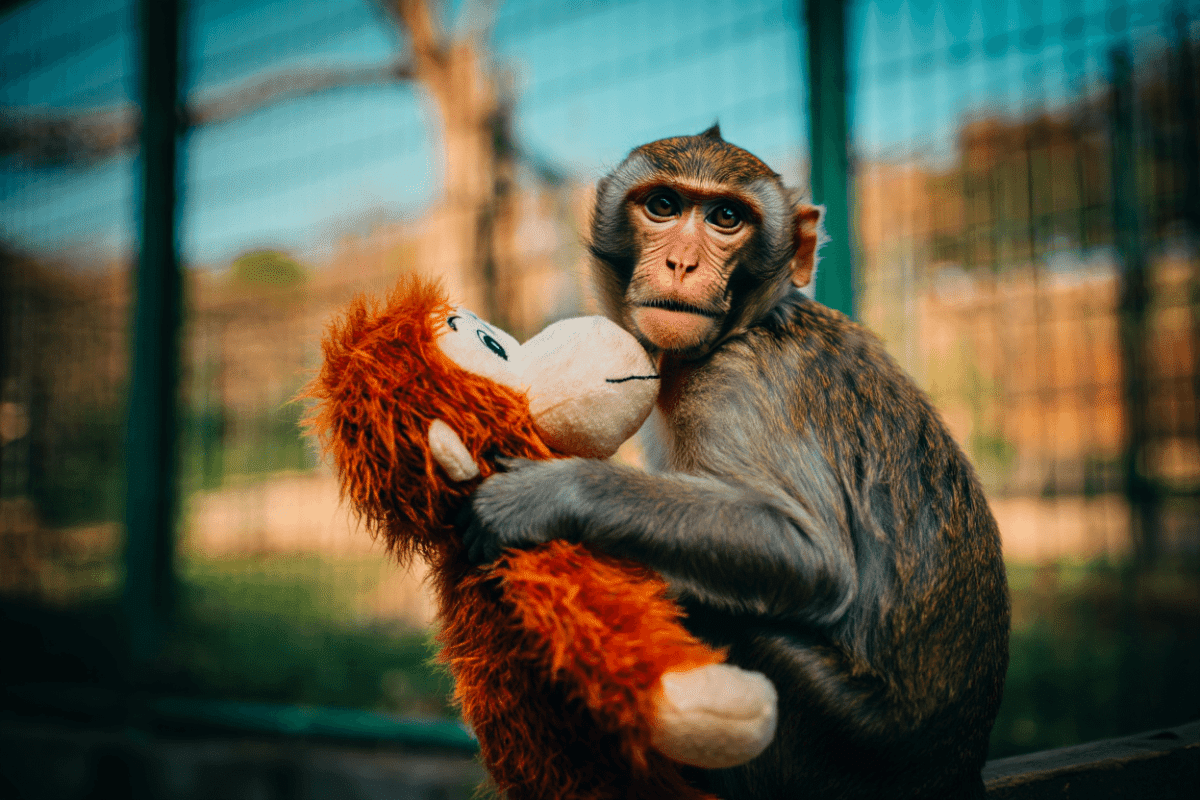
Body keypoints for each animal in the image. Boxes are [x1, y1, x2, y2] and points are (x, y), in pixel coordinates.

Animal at [458, 125, 1010, 799]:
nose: (682, 264)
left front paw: (551, 495)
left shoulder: (735, 385)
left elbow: (810, 557)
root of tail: (958, 766)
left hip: (844, 740)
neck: (741, 329)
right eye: (662, 206)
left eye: (726, 218)